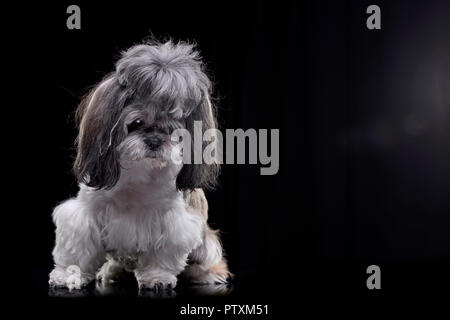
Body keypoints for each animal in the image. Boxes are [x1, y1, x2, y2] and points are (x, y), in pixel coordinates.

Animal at [48, 39, 230, 290]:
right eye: (136, 123)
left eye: (173, 130)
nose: (154, 140)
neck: (139, 173)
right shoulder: (85, 213)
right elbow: (78, 247)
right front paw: (69, 274)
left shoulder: (173, 222)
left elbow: (162, 254)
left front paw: (157, 277)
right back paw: (113, 271)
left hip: (205, 242)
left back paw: (206, 274)